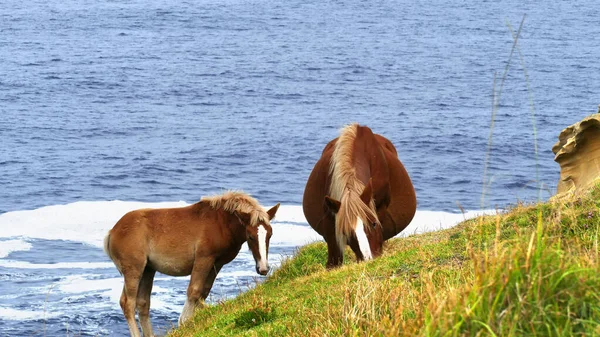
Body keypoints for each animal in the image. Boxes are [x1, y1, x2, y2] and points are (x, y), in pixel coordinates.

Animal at [103, 192, 282, 336]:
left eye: (270, 234)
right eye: (250, 236)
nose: (263, 268)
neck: (220, 223)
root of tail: (112, 232)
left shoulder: (217, 264)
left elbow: (203, 292)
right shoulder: (204, 259)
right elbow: (194, 291)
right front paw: (184, 323)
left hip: (148, 269)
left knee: (143, 303)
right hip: (134, 269)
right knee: (128, 303)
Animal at [302, 122, 414, 266]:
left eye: (373, 223)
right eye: (347, 232)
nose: (368, 259)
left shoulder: (380, 208)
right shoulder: (331, 218)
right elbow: (334, 256)